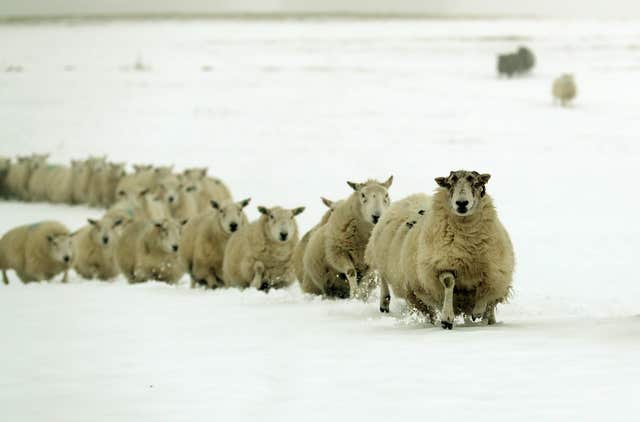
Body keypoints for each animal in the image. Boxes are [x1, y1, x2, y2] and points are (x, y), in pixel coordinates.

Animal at [368, 171, 512, 330]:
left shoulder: (494, 272)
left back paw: (487, 320)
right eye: (449, 184)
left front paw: (478, 311)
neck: (466, 241)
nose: (462, 203)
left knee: (490, 306)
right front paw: (447, 318)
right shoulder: (442, 265)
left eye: (476, 183)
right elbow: (449, 283)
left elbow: (485, 291)